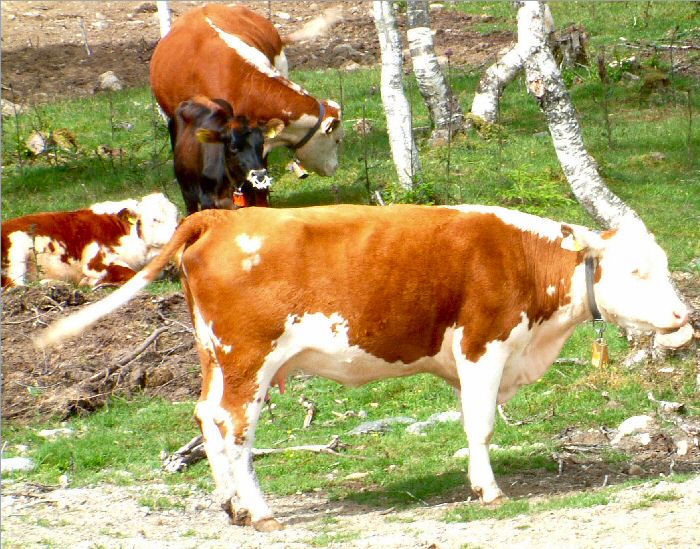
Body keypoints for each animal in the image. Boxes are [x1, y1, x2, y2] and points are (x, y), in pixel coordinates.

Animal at [2, 193, 178, 289]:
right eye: (156, 219)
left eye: (177, 216)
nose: (177, 232)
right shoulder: (96, 261)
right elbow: (132, 274)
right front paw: (92, 282)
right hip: (16, 251)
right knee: (15, 286)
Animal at [36, 204, 689, 531]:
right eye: (636, 271)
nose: (685, 316)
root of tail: (220, 215)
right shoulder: (483, 347)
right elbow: (479, 426)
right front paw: (488, 489)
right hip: (248, 361)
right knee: (235, 427)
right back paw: (261, 511)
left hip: (215, 357)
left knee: (207, 419)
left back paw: (233, 506)